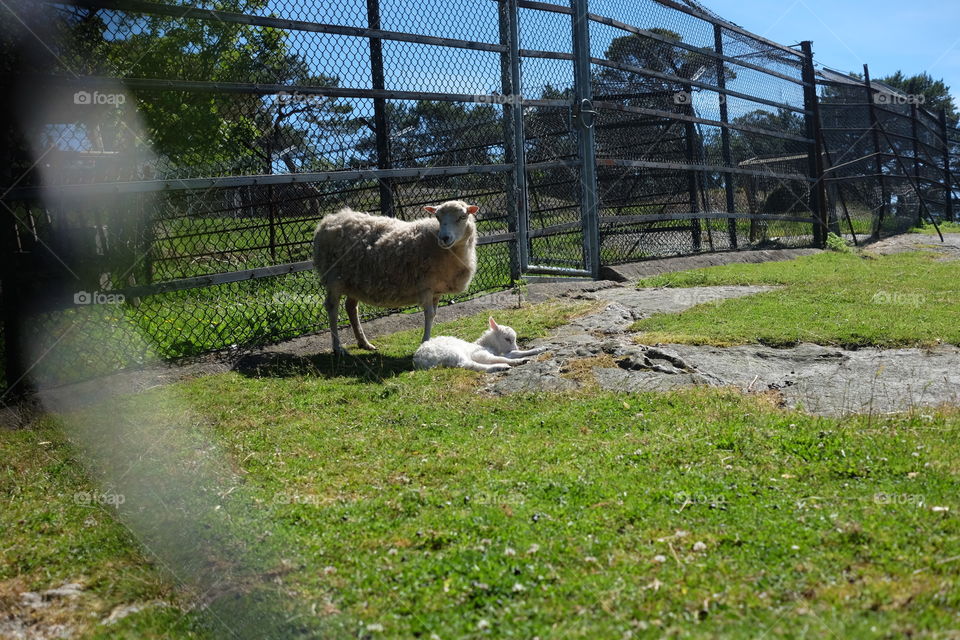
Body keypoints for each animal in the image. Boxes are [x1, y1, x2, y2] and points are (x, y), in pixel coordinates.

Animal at [312, 200, 479, 355]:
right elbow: (429, 314)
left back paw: (364, 343)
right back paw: (337, 347)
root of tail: (330, 219)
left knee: (351, 308)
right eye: (437, 217)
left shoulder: (436, 290)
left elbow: (434, 314)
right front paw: (425, 342)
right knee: (332, 308)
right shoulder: (425, 286)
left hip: (354, 281)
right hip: (334, 278)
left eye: (463, 216)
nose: (444, 238)